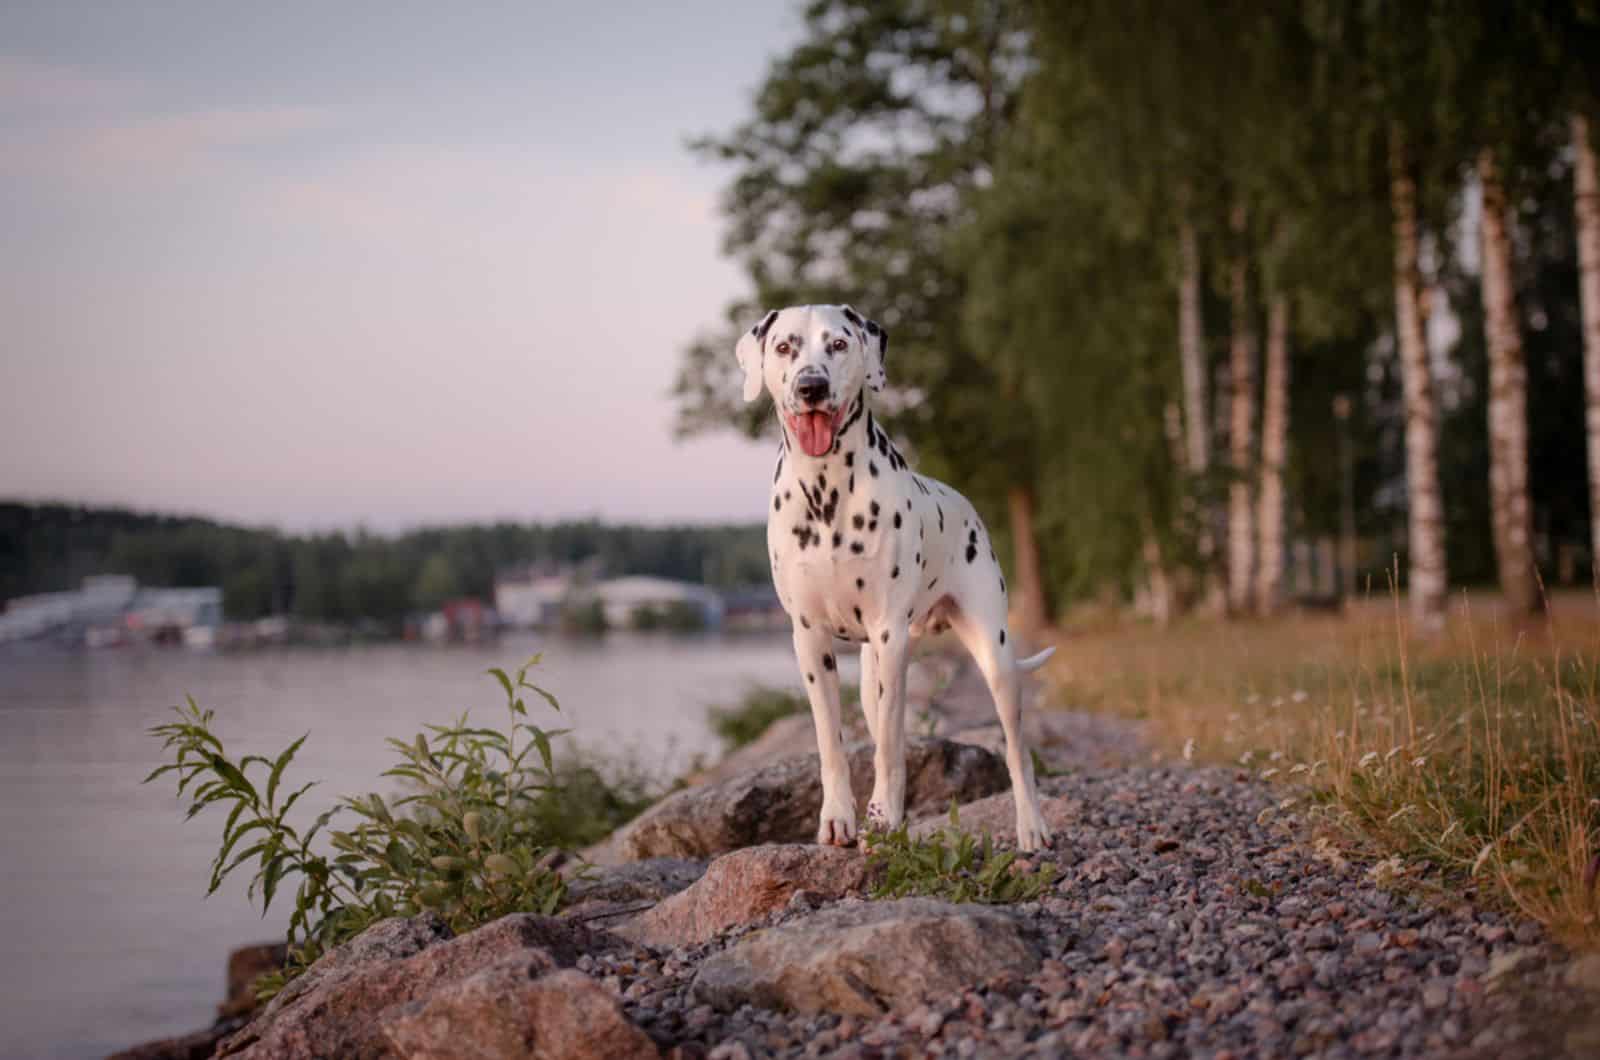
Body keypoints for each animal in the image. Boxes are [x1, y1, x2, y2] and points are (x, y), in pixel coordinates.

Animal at [739, 302, 1062, 851]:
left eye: (839, 344)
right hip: (872, 675)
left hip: (994, 655)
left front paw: (883, 817)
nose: (811, 386)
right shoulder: (810, 639)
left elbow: (891, 750)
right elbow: (832, 743)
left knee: (1016, 751)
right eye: (784, 347)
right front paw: (838, 818)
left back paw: (1032, 827)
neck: (827, 493)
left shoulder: (891, 636)